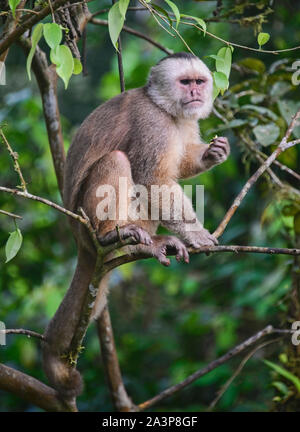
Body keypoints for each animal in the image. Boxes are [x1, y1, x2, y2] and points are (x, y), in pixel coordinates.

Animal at [41, 51, 230, 402]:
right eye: (186, 82)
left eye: (200, 82)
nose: (195, 93)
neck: (166, 108)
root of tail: (79, 240)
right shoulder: (153, 124)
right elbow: (154, 180)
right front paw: (197, 233)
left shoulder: (185, 121)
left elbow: (179, 166)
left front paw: (213, 154)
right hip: (86, 220)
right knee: (118, 160)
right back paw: (112, 235)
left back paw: (147, 243)